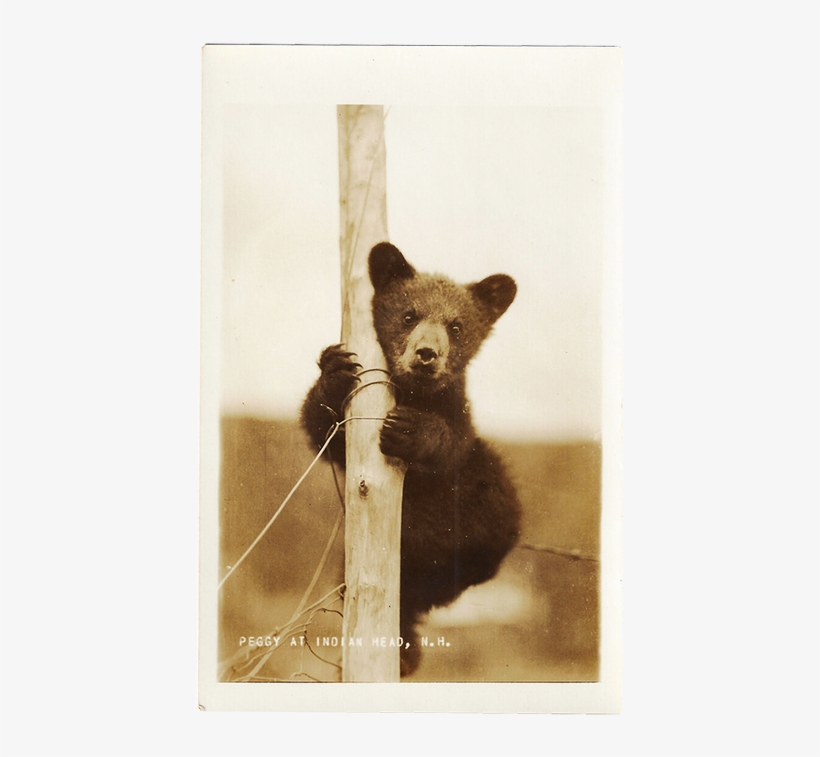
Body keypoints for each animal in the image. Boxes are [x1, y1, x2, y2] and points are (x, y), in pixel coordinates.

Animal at [301, 242, 521, 676]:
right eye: (408, 315)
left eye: (456, 326)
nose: (426, 354)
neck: (414, 393)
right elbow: (321, 431)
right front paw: (334, 371)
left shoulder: (458, 415)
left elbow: (453, 443)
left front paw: (409, 430)